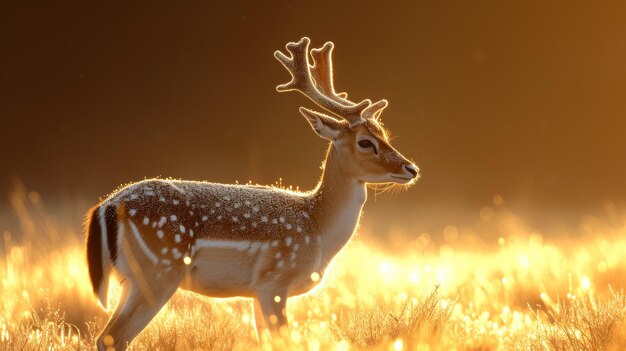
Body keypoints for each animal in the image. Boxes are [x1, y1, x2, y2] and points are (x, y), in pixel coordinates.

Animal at [84, 37, 420, 350]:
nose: (411, 168)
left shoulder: (256, 292)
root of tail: (106, 207)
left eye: (384, 133)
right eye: (365, 142)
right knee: (113, 337)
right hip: (159, 269)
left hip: (133, 279)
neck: (317, 229)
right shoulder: (274, 281)